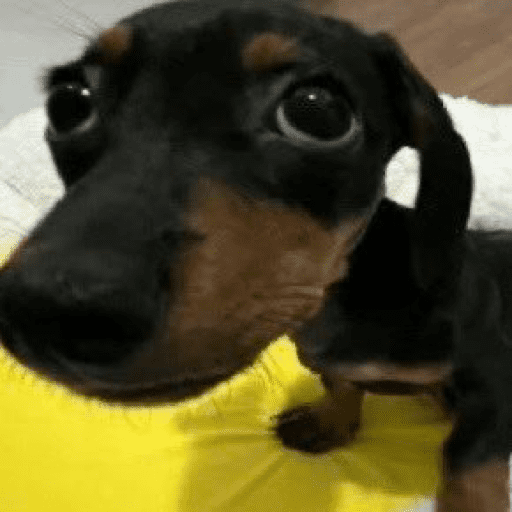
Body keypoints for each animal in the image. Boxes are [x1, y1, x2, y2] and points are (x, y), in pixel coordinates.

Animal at [0, 0, 480, 509]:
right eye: (68, 103)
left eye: (318, 113)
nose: (50, 306)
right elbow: (340, 382)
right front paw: (331, 423)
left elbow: (469, 466)